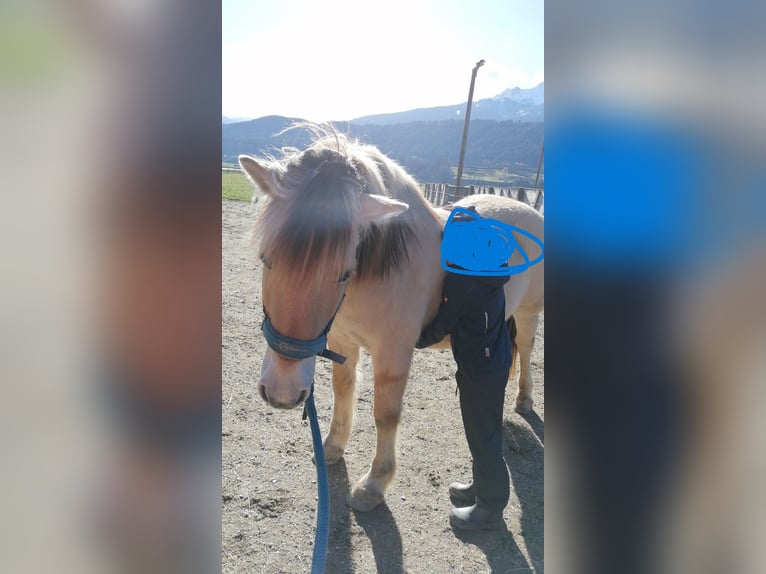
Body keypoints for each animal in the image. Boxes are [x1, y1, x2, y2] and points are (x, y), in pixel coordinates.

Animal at [242, 127, 544, 512]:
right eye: (265, 260)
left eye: (343, 274)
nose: (282, 393)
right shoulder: (342, 341)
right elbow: (343, 390)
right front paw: (331, 448)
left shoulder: (393, 352)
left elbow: (385, 414)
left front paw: (374, 485)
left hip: (528, 313)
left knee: (526, 349)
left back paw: (524, 399)